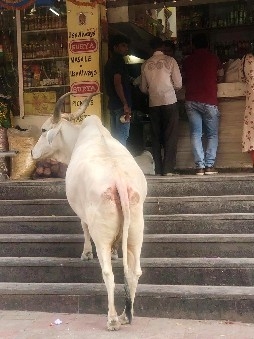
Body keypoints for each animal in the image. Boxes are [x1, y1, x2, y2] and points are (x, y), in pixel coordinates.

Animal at [31, 93, 147, 332]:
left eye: (44, 129)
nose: (32, 153)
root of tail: (119, 181)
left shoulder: (82, 211)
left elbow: (83, 227)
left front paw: (85, 253)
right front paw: (115, 252)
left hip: (100, 231)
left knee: (108, 273)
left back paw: (113, 319)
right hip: (136, 229)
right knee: (134, 271)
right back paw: (126, 315)